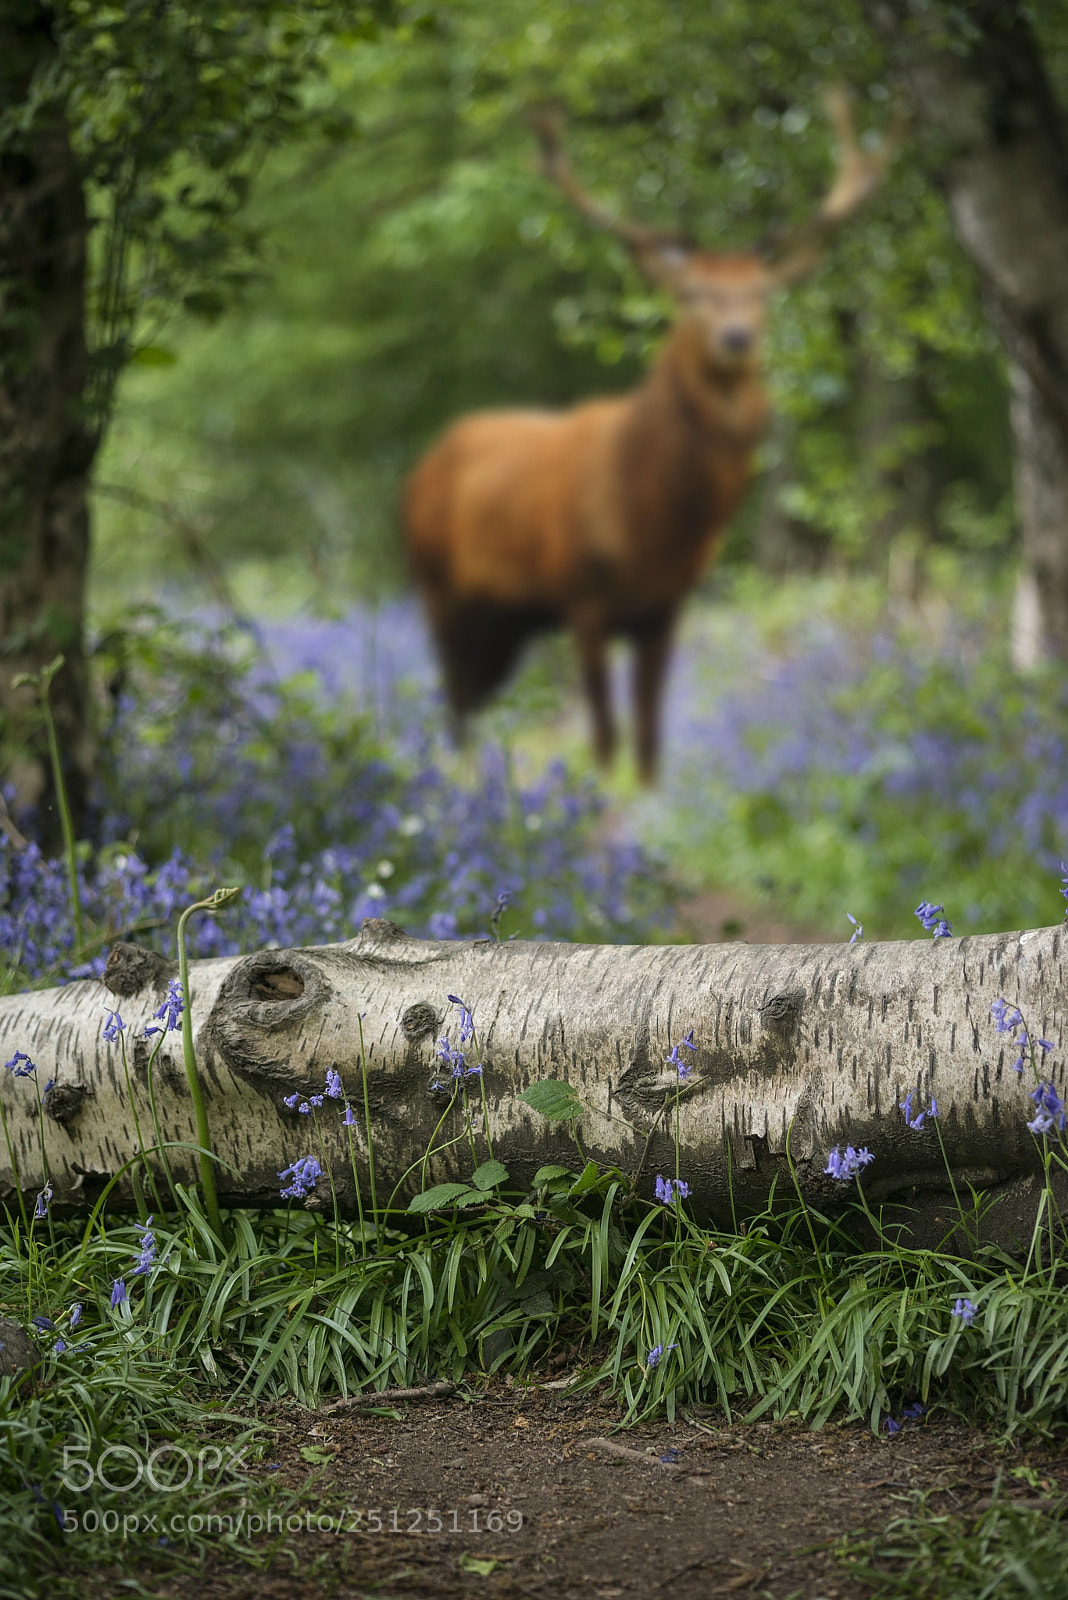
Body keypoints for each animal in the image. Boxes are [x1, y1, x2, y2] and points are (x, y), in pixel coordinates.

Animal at [403, 94, 897, 782]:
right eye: (691, 293)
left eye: (763, 293)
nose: (736, 337)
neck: (649, 522)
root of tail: (425, 463)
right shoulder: (582, 598)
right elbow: (605, 740)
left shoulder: (665, 608)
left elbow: (649, 742)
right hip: (439, 589)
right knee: (456, 702)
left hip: (507, 619)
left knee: (475, 696)